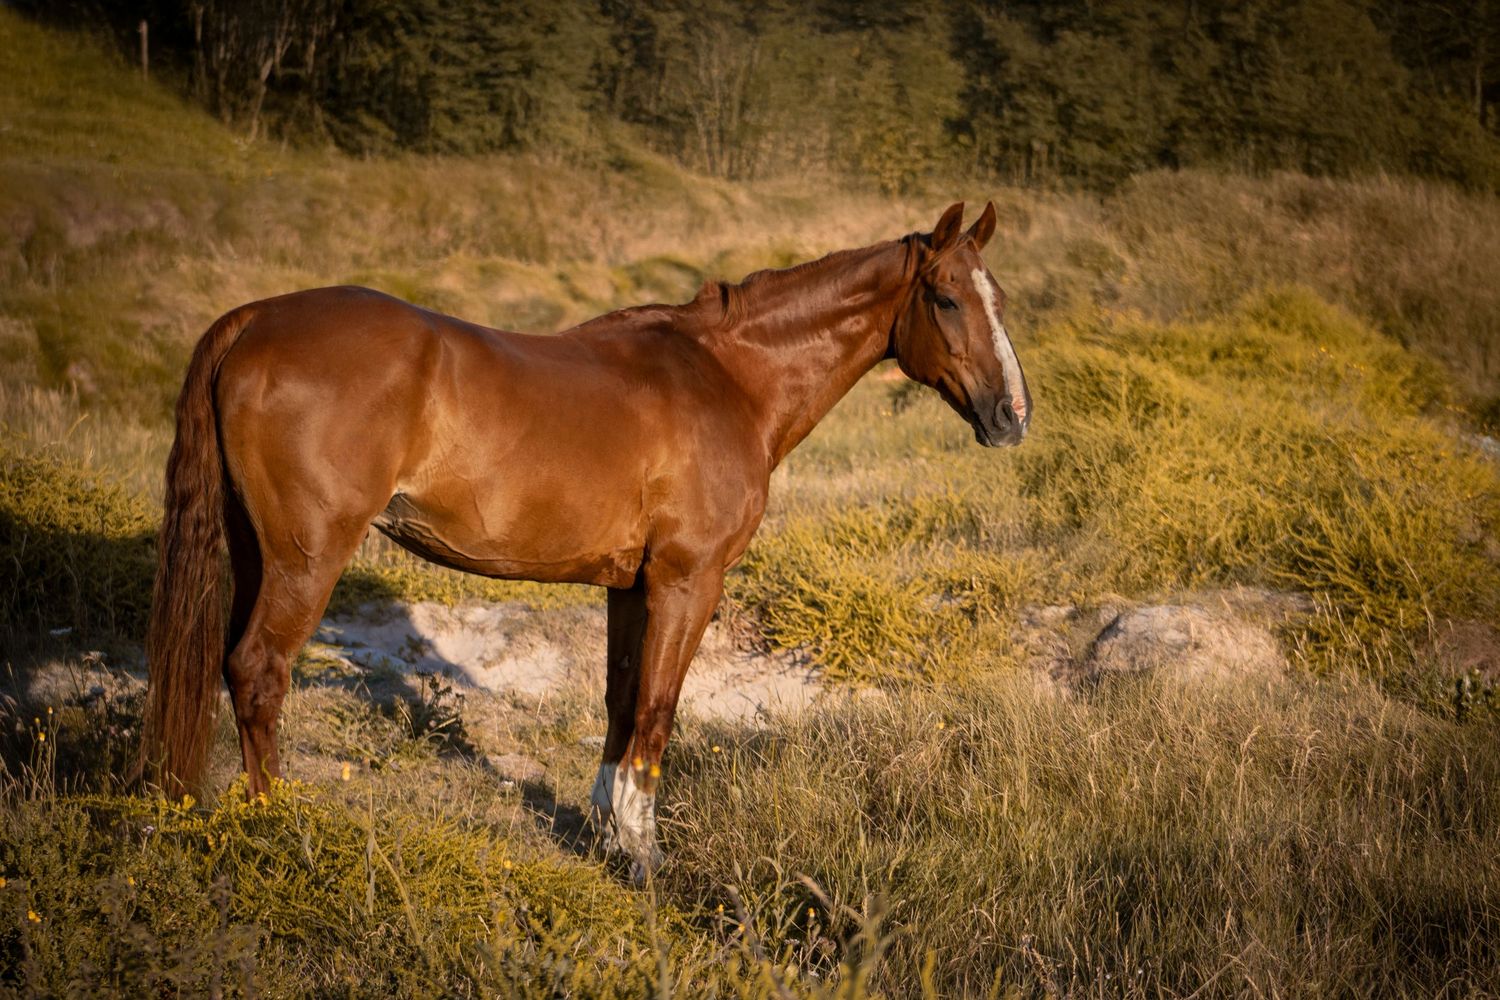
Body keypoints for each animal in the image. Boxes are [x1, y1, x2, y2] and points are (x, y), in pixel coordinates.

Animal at [139, 201, 1030, 880]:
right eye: (946, 299)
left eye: (1001, 299)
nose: (1012, 416)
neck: (727, 379)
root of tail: (256, 319)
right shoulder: (686, 580)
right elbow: (660, 708)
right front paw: (644, 855)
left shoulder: (629, 584)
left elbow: (620, 700)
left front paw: (607, 831)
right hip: (308, 556)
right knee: (259, 671)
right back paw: (277, 825)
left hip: (255, 551)